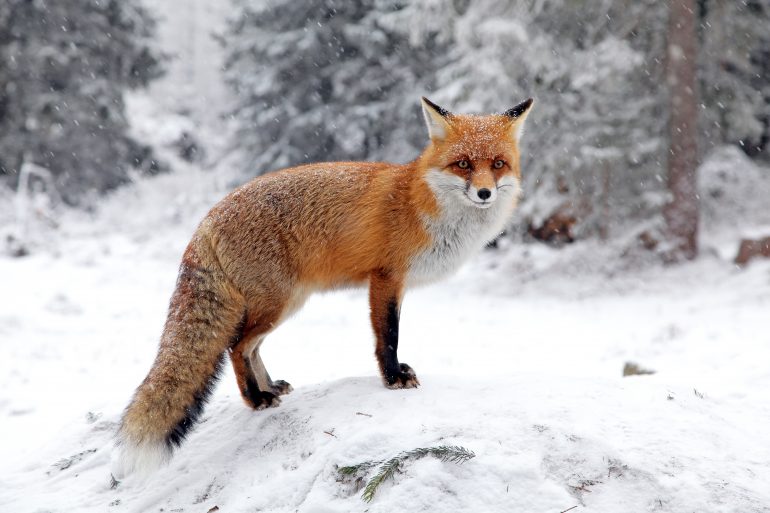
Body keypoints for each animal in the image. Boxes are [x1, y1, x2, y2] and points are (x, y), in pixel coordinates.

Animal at [115, 97, 536, 476]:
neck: (422, 204)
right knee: (237, 347)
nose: (485, 193)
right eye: (463, 164)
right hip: (277, 304)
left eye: (497, 164)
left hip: (285, 304)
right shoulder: (386, 277)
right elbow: (388, 336)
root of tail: (208, 218)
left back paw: (270, 388)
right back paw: (256, 399)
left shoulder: (392, 281)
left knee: (251, 348)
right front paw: (393, 378)